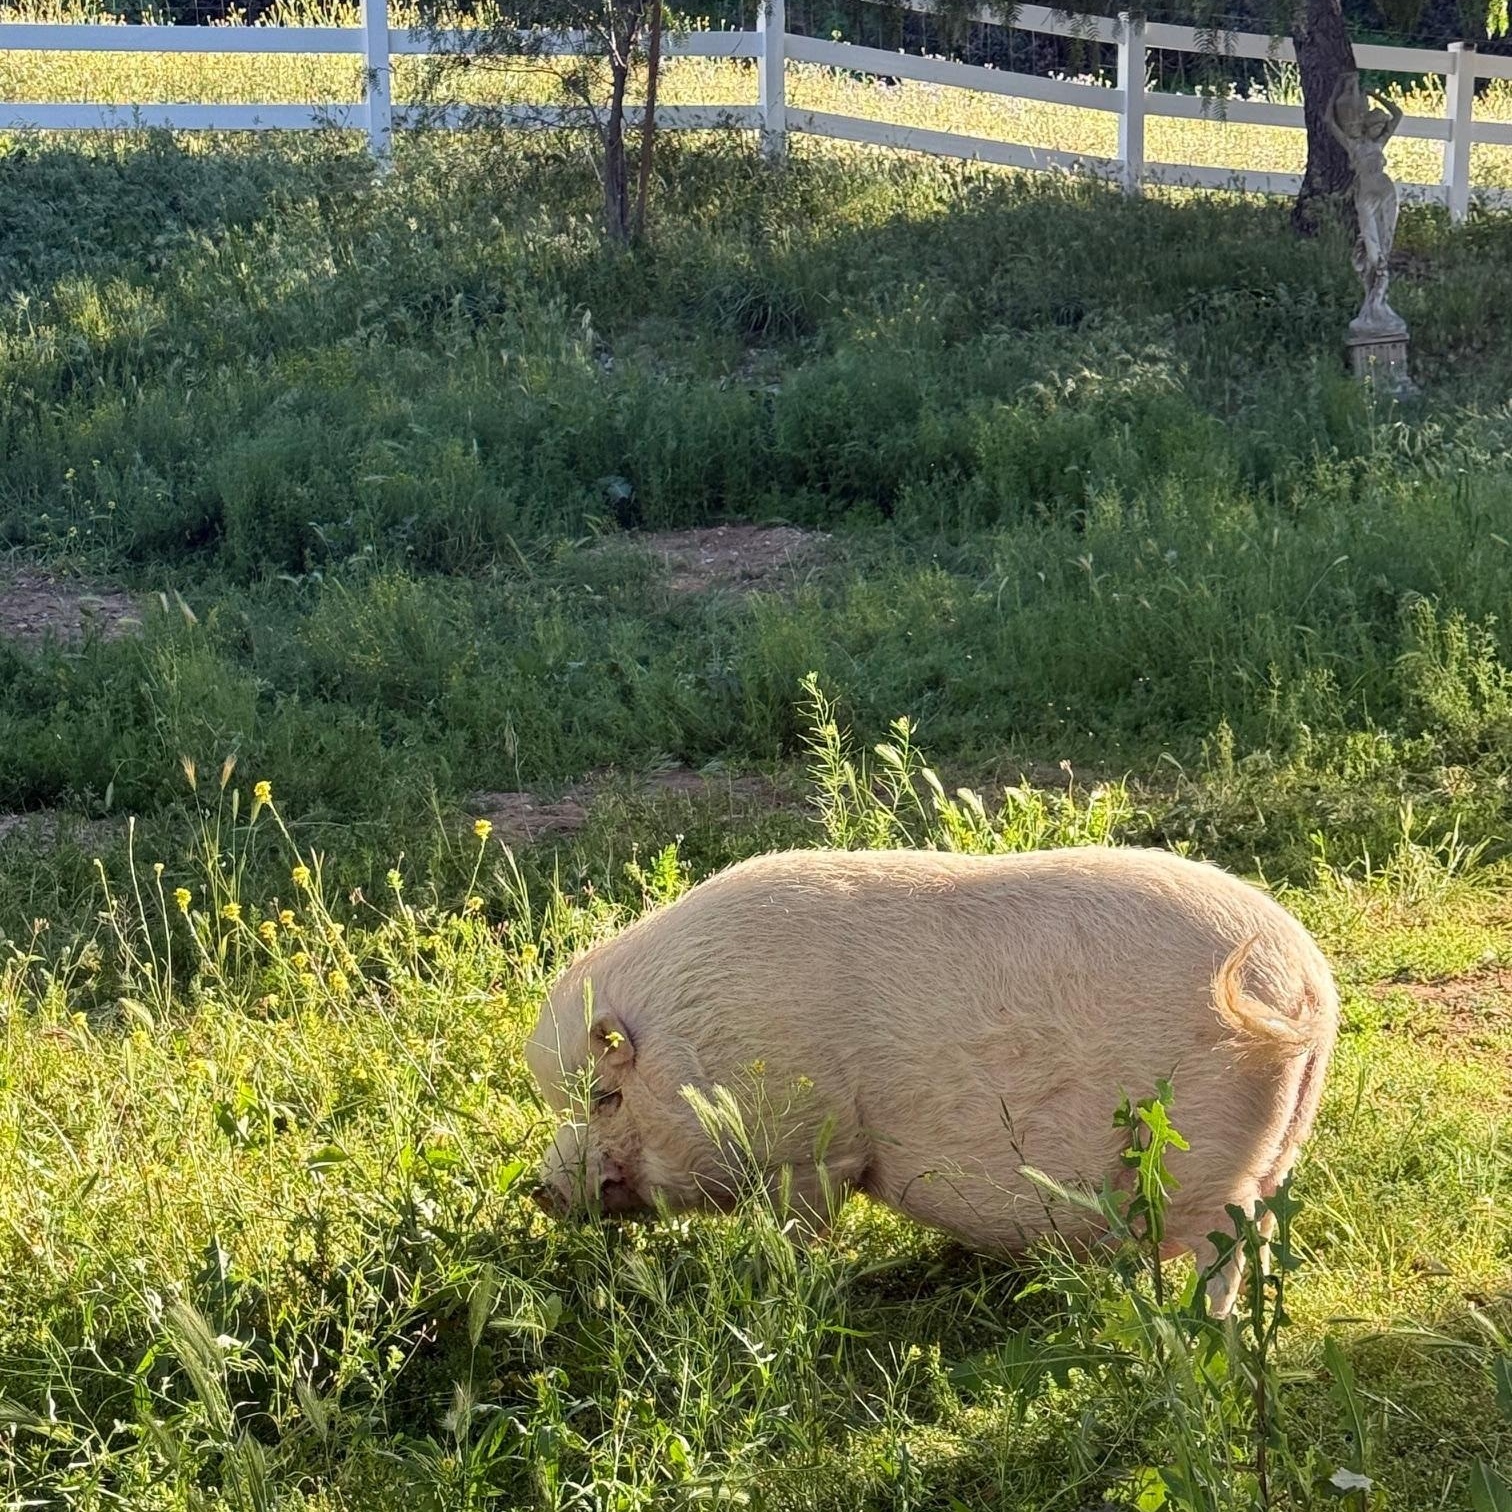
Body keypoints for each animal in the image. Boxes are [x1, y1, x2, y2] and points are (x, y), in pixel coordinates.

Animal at [525, 845, 1338, 1313]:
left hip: (1208, 1161)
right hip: (1276, 1154)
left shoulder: (814, 1150)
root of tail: (1307, 987)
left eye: (606, 1097)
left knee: (1225, 1255)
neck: (701, 1040)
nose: (540, 1188)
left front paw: (781, 1281)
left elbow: (801, 1228)